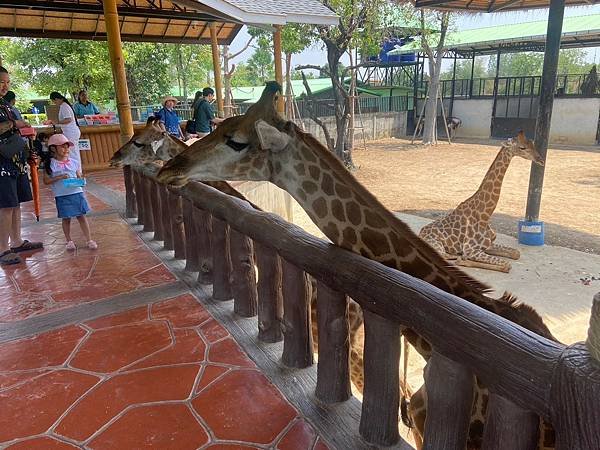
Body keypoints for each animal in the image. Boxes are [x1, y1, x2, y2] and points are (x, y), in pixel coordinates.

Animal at [418, 130, 544, 270]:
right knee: (446, 257)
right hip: (437, 245)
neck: (485, 215)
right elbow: (506, 265)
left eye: (532, 143)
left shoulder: (488, 245)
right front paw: (463, 259)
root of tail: (419, 234)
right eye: (522, 147)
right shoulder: (472, 249)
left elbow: (516, 253)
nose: (541, 160)